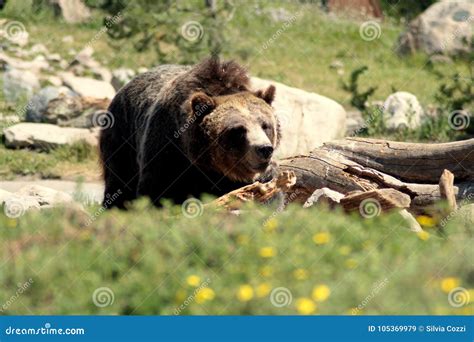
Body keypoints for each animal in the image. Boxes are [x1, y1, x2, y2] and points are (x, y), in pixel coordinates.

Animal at [98, 57, 280, 208]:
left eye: (265, 125)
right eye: (238, 130)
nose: (264, 149)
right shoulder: (167, 150)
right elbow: (157, 189)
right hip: (123, 139)